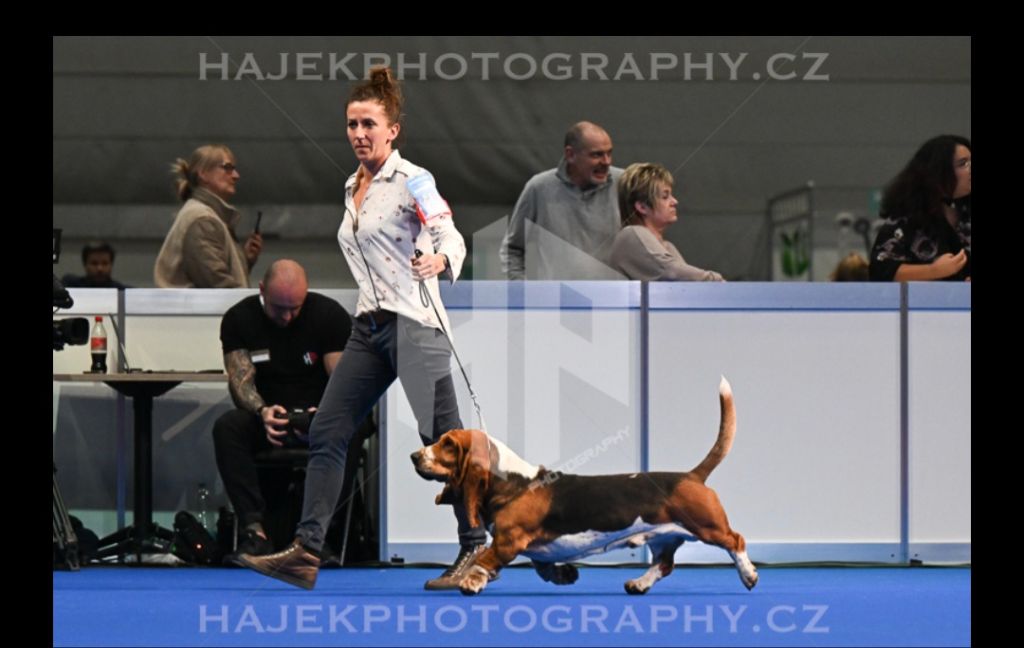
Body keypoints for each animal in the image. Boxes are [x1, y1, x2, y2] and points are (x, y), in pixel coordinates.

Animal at [411, 378, 757, 597]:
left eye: (448, 444)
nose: (414, 455)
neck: (511, 481)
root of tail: (692, 475)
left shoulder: (509, 541)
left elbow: (483, 559)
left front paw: (471, 582)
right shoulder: (528, 547)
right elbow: (541, 566)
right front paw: (565, 575)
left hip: (706, 526)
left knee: (736, 540)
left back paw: (749, 574)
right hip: (663, 537)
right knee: (664, 564)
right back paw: (638, 584)